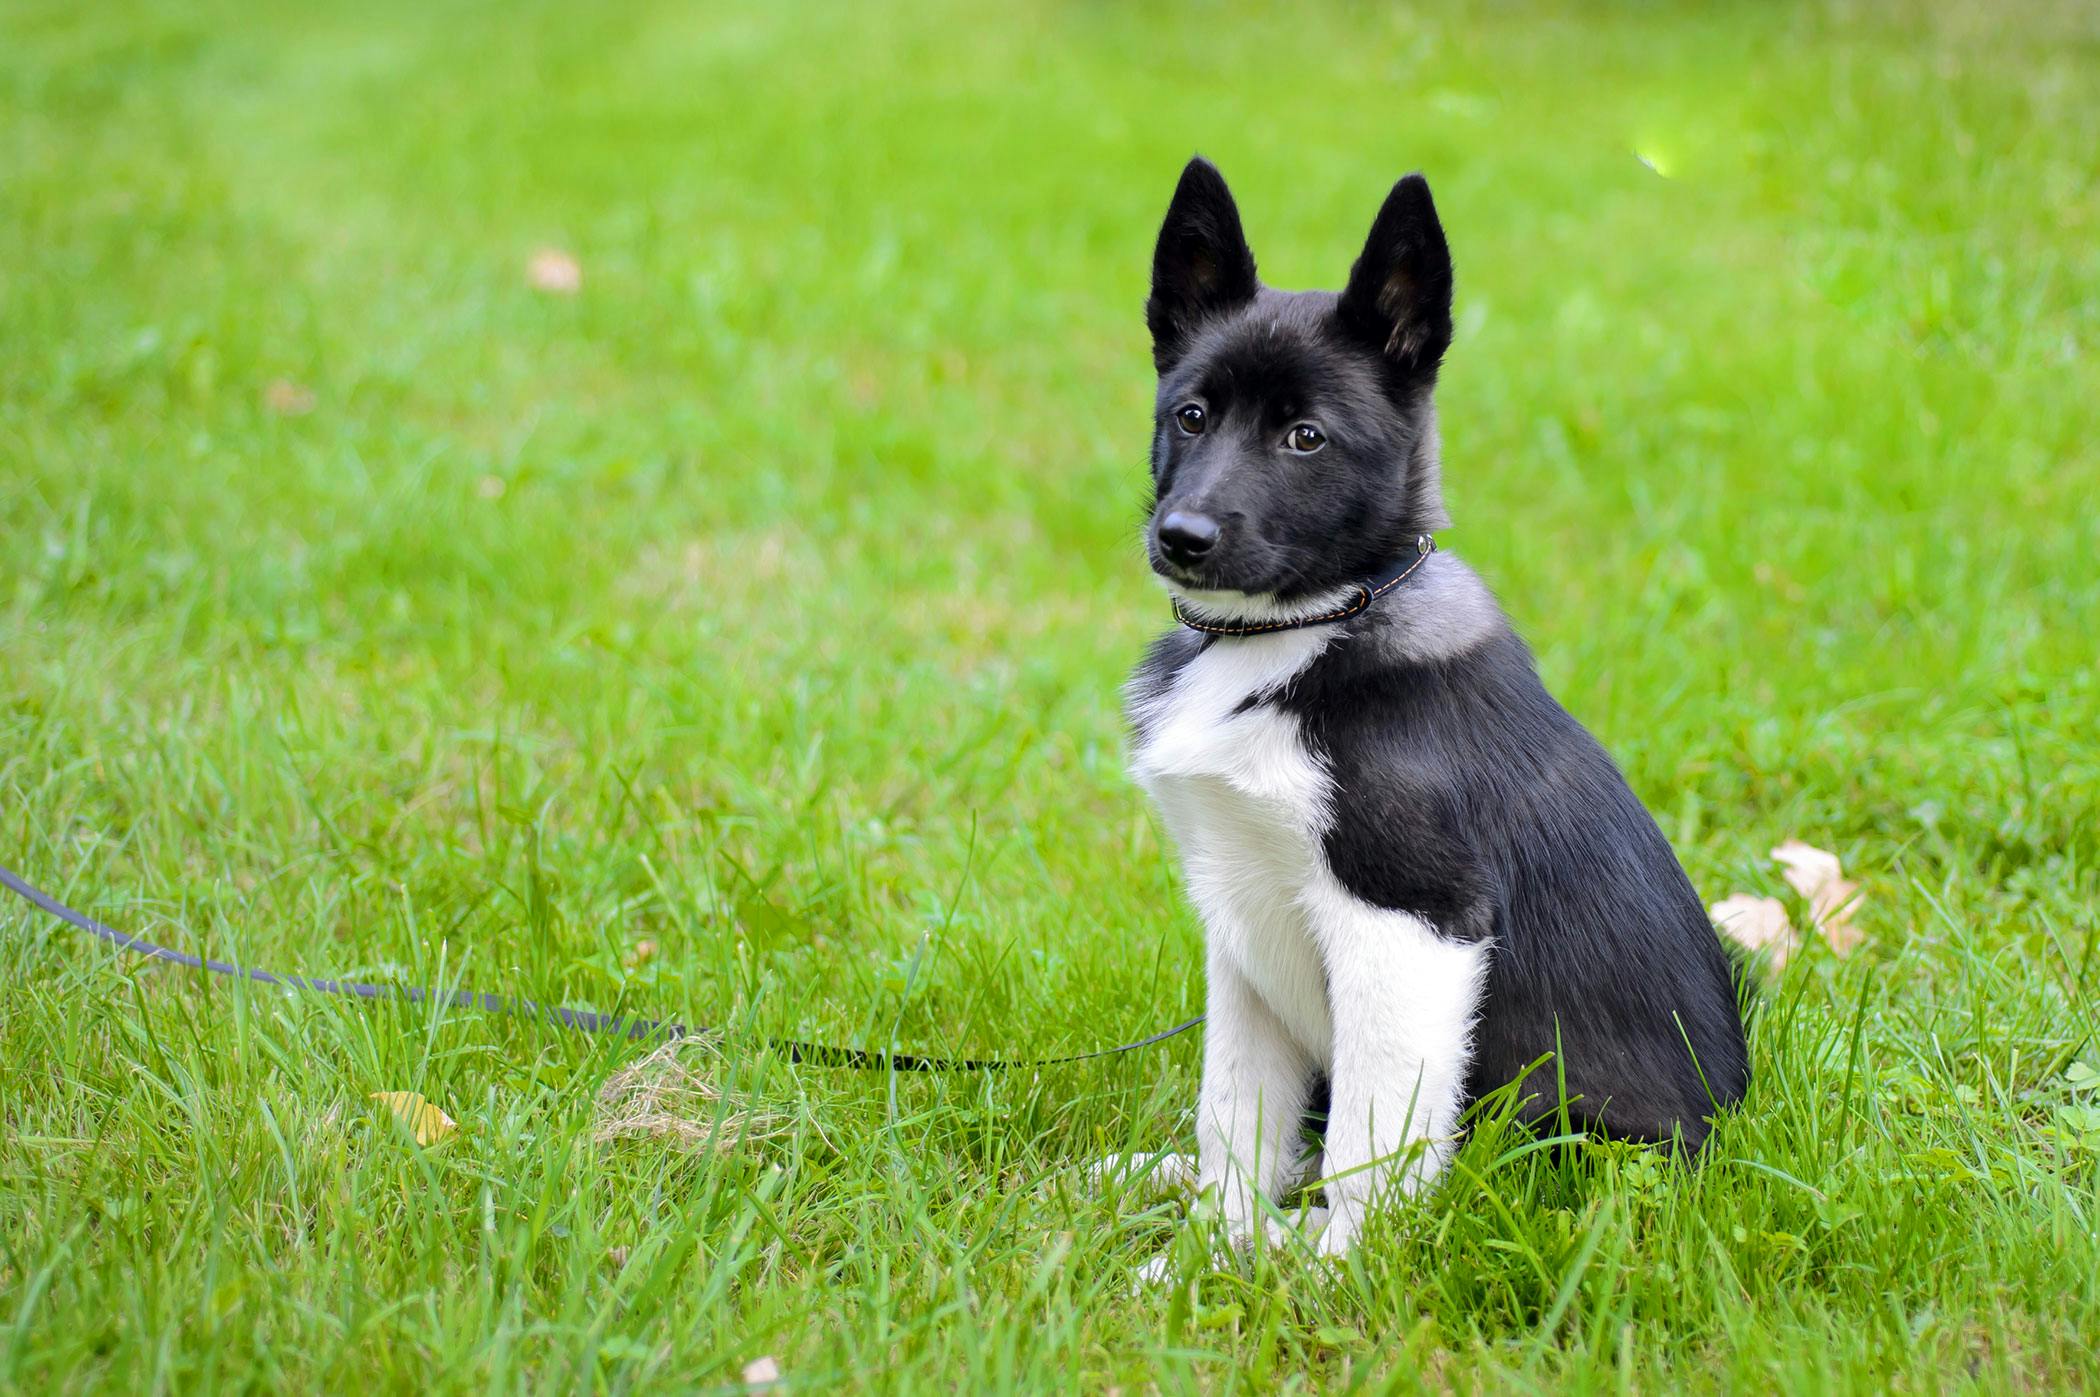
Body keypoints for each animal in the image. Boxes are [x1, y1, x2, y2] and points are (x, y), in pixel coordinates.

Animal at [1125, 157, 1747, 1260]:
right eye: (1190, 415)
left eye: (1305, 437)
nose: (1183, 537)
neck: (1303, 631)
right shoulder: (1238, 924)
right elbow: (1234, 1111)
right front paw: (1218, 1240)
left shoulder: (1414, 922)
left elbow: (1368, 1141)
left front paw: (1328, 1269)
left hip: (1556, 1132)